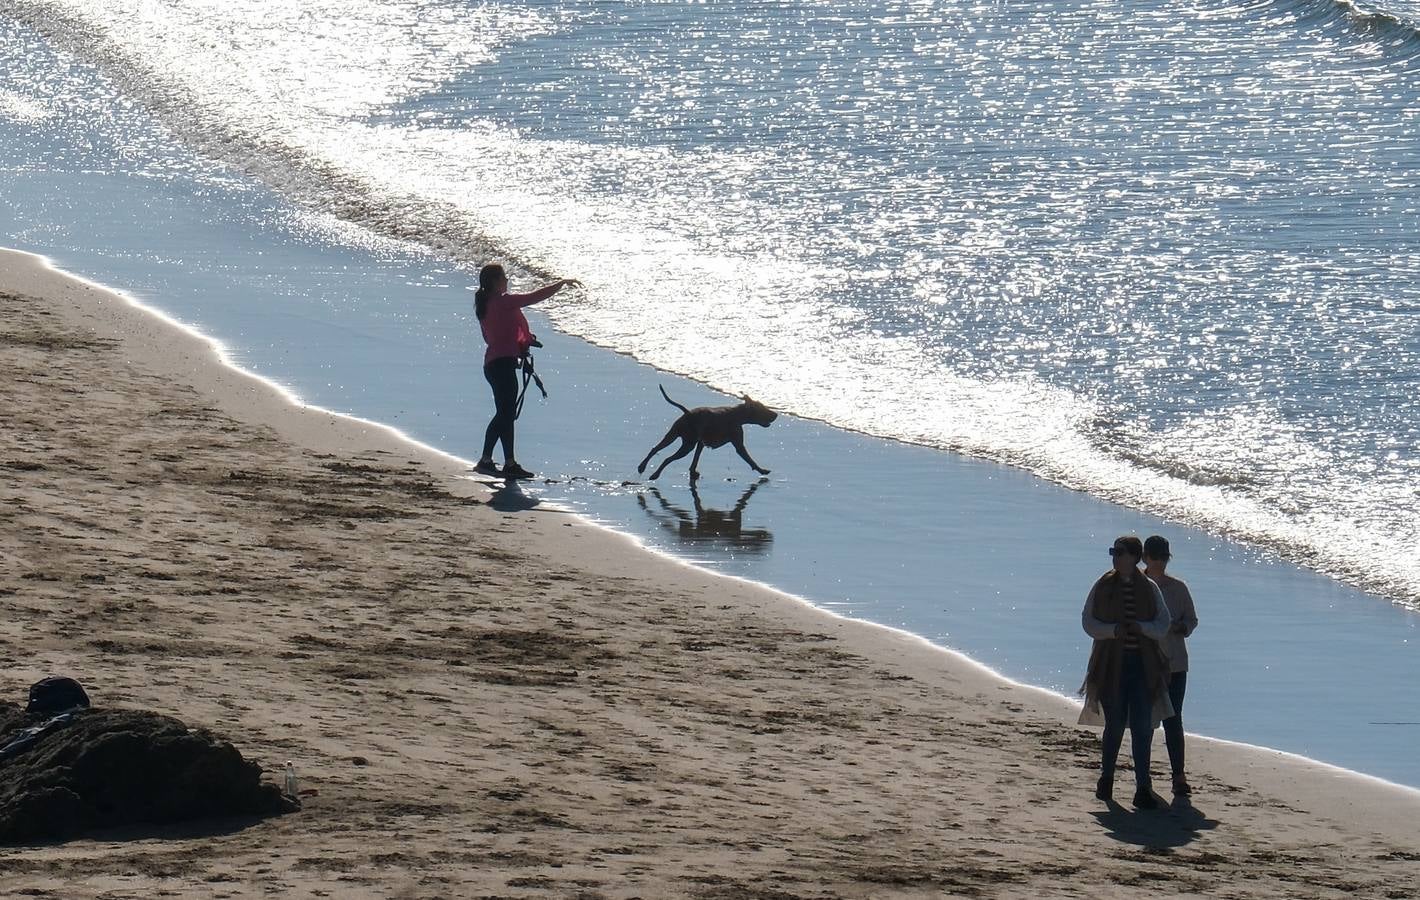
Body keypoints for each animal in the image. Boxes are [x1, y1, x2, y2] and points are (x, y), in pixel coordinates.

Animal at [641, 386, 778, 482]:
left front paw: (693, 472)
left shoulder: (701, 443)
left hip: (673, 436)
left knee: (655, 449)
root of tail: (688, 413)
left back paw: (642, 467)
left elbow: (695, 460)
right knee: (667, 459)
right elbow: (750, 460)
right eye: (763, 409)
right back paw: (655, 475)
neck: (737, 414)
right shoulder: (739, 445)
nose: (776, 414)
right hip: (687, 446)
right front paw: (762, 470)